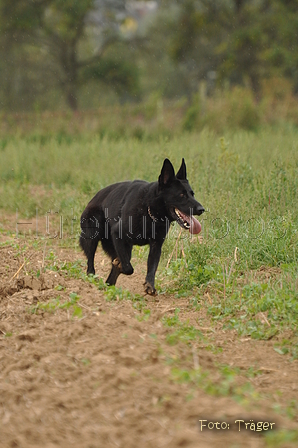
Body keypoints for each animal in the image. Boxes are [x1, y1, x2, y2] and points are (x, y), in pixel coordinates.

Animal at [79, 159, 205, 296]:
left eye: (192, 194)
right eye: (181, 195)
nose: (201, 209)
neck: (149, 209)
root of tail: (93, 198)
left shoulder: (156, 246)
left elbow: (152, 267)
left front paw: (149, 285)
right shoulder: (118, 234)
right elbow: (128, 268)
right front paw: (121, 266)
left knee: (113, 273)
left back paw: (108, 287)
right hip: (92, 237)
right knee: (90, 262)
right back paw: (92, 280)